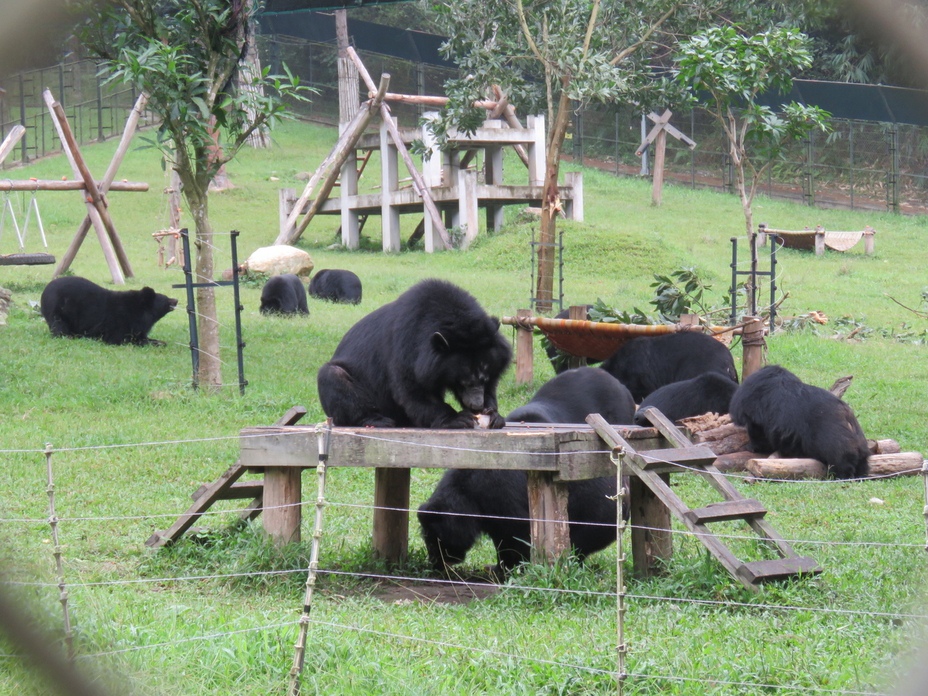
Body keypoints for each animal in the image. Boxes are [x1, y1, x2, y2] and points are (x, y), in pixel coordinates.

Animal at [40, 274, 178, 346]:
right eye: (166, 299)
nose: (176, 300)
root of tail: (45, 291)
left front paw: (157, 341)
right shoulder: (121, 321)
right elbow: (120, 338)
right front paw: (158, 343)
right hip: (58, 310)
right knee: (59, 326)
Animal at [316, 278, 512, 430]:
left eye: (484, 377)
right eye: (463, 381)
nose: (477, 405)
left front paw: (493, 415)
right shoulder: (407, 347)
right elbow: (413, 389)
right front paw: (458, 418)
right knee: (334, 377)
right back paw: (378, 420)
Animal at [728, 364, 872, 478]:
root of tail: (846, 414)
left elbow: (759, 432)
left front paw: (752, 447)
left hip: (835, 439)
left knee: (840, 458)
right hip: (859, 441)